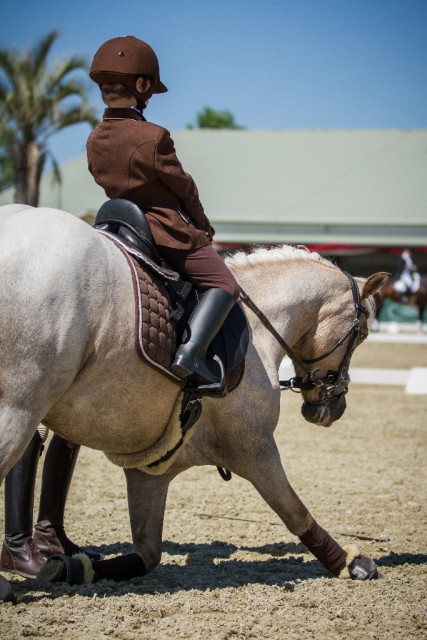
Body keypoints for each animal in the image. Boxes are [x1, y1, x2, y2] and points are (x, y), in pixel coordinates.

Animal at [0, 206, 388, 600]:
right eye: (361, 334)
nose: (332, 409)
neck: (258, 328)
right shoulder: (253, 447)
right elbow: (294, 510)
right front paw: (351, 563)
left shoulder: (149, 472)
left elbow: (146, 555)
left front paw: (76, 568)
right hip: (19, 407)